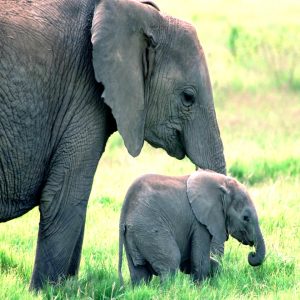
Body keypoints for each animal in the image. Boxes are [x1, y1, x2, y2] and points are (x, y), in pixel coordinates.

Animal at [0, 0, 225, 290]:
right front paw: (45, 292)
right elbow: (65, 199)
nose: (201, 276)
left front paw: (67, 289)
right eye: (188, 97)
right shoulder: (83, 94)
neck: (144, 16)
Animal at [118, 170, 266, 284]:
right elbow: (199, 260)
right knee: (170, 263)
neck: (222, 184)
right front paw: (199, 289)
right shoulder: (199, 222)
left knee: (139, 274)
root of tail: (125, 212)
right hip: (149, 231)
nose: (251, 254)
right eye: (246, 218)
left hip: (134, 236)